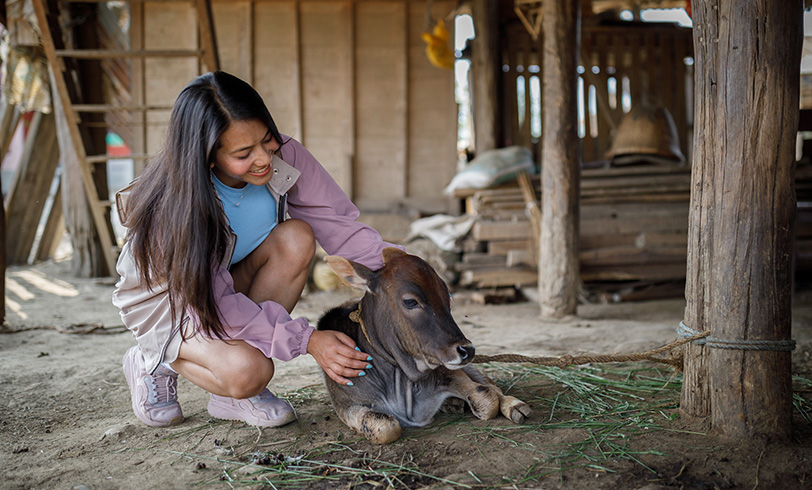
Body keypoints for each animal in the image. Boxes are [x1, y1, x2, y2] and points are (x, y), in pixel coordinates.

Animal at [314, 249, 528, 444]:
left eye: (447, 297)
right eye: (410, 301)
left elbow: (487, 397)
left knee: (489, 383)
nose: (467, 350)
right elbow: (384, 426)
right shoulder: (346, 404)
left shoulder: (449, 371)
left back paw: (514, 406)